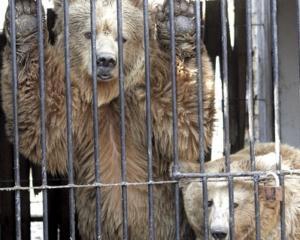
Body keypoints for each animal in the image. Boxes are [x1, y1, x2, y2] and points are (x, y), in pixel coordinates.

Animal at [1, 0, 214, 238]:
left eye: (121, 37)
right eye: (88, 33)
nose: (105, 60)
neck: (108, 96)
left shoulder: (143, 109)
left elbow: (185, 125)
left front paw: (181, 19)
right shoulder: (80, 116)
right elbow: (42, 122)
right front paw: (25, 18)